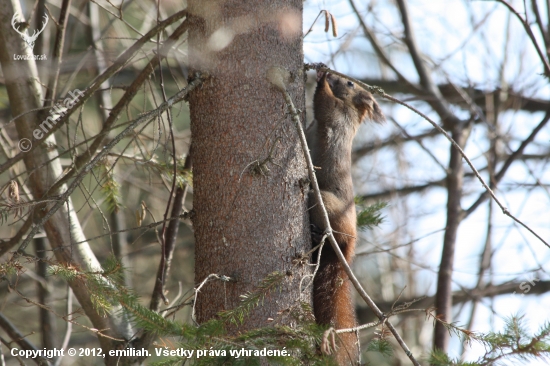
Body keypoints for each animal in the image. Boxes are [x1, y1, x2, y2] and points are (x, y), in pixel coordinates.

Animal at [308, 68, 386, 364]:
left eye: (350, 83)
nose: (334, 74)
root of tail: (349, 247)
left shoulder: (335, 114)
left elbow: (322, 104)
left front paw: (321, 78)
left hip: (323, 202)